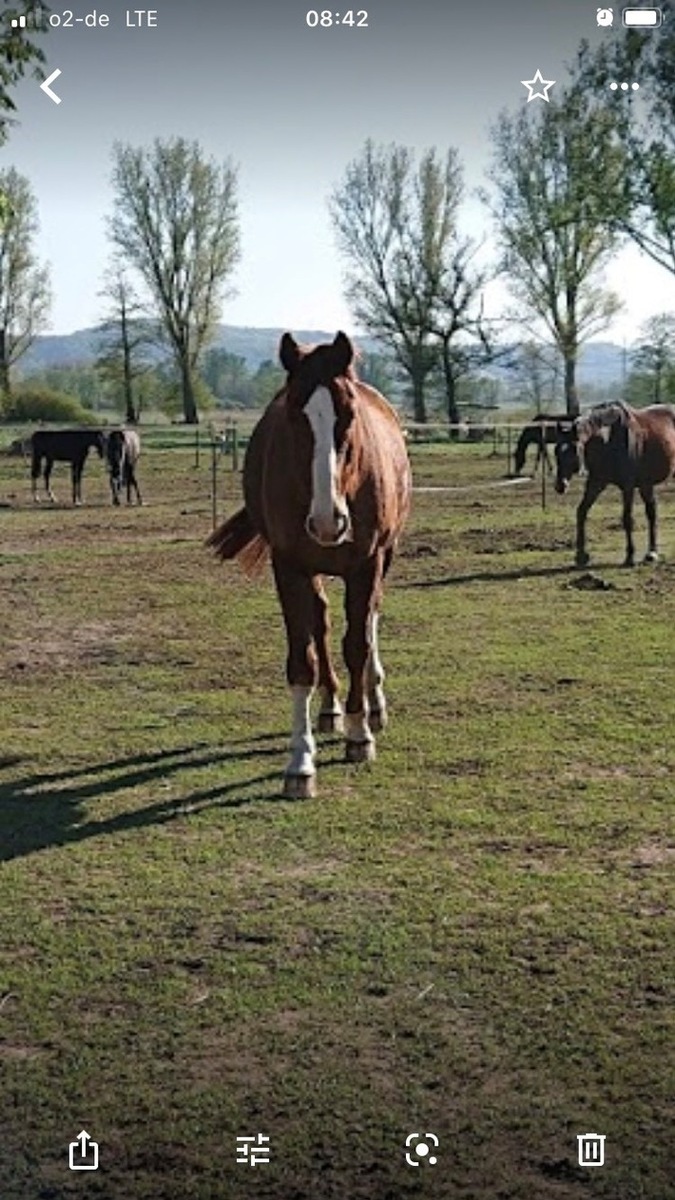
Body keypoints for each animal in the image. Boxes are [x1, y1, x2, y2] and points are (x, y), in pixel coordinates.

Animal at [206, 331, 410, 796]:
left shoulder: (367, 565)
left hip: (384, 558)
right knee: (321, 622)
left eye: (348, 414)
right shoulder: (289, 568)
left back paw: (373, 703)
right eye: (295, 413)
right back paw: (330, 708)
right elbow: (303, 660)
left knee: (370, 622)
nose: (327, 521)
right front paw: (300, 761)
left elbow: (357, 646)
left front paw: (359, 734)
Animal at [554, 403, 675, 566]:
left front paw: (629, 556)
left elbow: (627, 518)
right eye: (556, 450)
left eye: (574, 449)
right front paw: (581, 556)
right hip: (646, 484)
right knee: (652, 512)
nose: (560, 485)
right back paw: (652, 553)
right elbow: (581, 512)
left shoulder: (628, 486)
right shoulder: (596, 483)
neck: (608, 440)